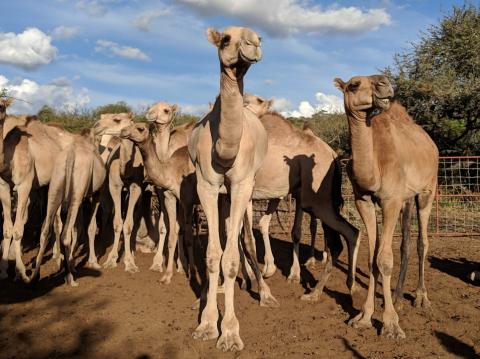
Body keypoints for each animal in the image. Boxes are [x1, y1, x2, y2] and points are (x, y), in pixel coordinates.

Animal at [188, 26, 276, 352]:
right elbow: (214, 255)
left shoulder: (241, 185)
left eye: (259, 37)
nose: (254, 44)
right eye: (226, 39)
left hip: (247, 192)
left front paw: (229, 332)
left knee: (245, 239)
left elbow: (232, 257)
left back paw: (263, 292)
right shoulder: (207, 185)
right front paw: (206, 324)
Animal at [334, 75, 438, 340]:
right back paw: (398, 297)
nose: (384, 83)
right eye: (354, 85)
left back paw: (421, 298)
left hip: (427, 191)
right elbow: (372, 258)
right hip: (407, 198)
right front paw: (363, 318)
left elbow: (384, 259)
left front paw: (391, 325)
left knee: (422, 242)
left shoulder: (391, 200)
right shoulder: (363, 200)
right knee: (406, 242)